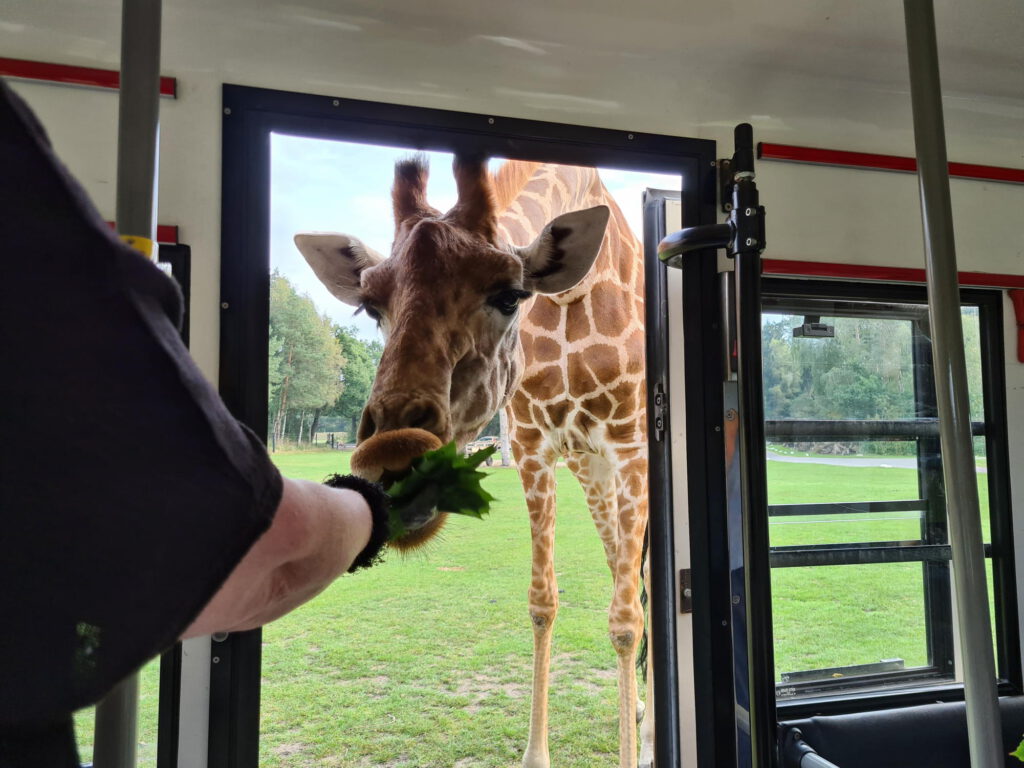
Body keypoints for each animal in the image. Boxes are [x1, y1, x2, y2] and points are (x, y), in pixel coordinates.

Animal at [294, 154, 652, 768]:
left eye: (510, 295)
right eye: (370, 304)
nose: (393, 459)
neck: (569, 296)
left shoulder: (631, 445)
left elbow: (625, 621)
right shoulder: (534, 445)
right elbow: (543, 602)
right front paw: (537, 755)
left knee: (641, 590)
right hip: (591, 470)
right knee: (622, 572)